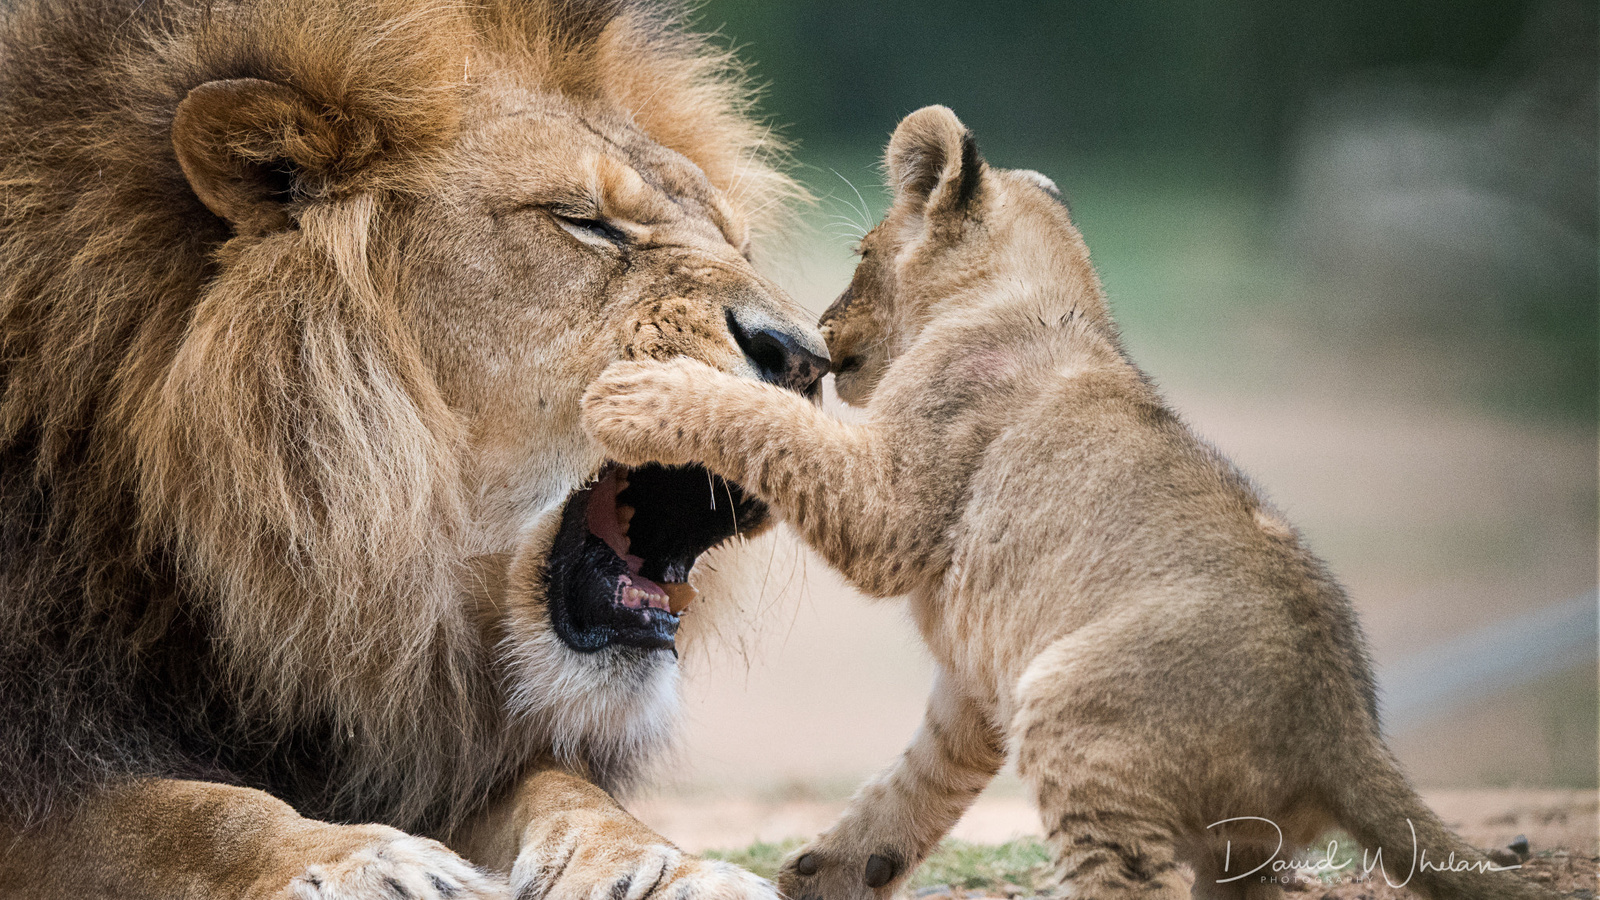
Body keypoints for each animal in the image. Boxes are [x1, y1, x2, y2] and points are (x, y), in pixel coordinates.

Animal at [0, 0, 825, 890]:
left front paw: (664, 865)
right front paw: (358, 859)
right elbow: (172, 815)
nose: (808, 359)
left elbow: (560, 785)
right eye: (585, 222)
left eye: (738, 244)